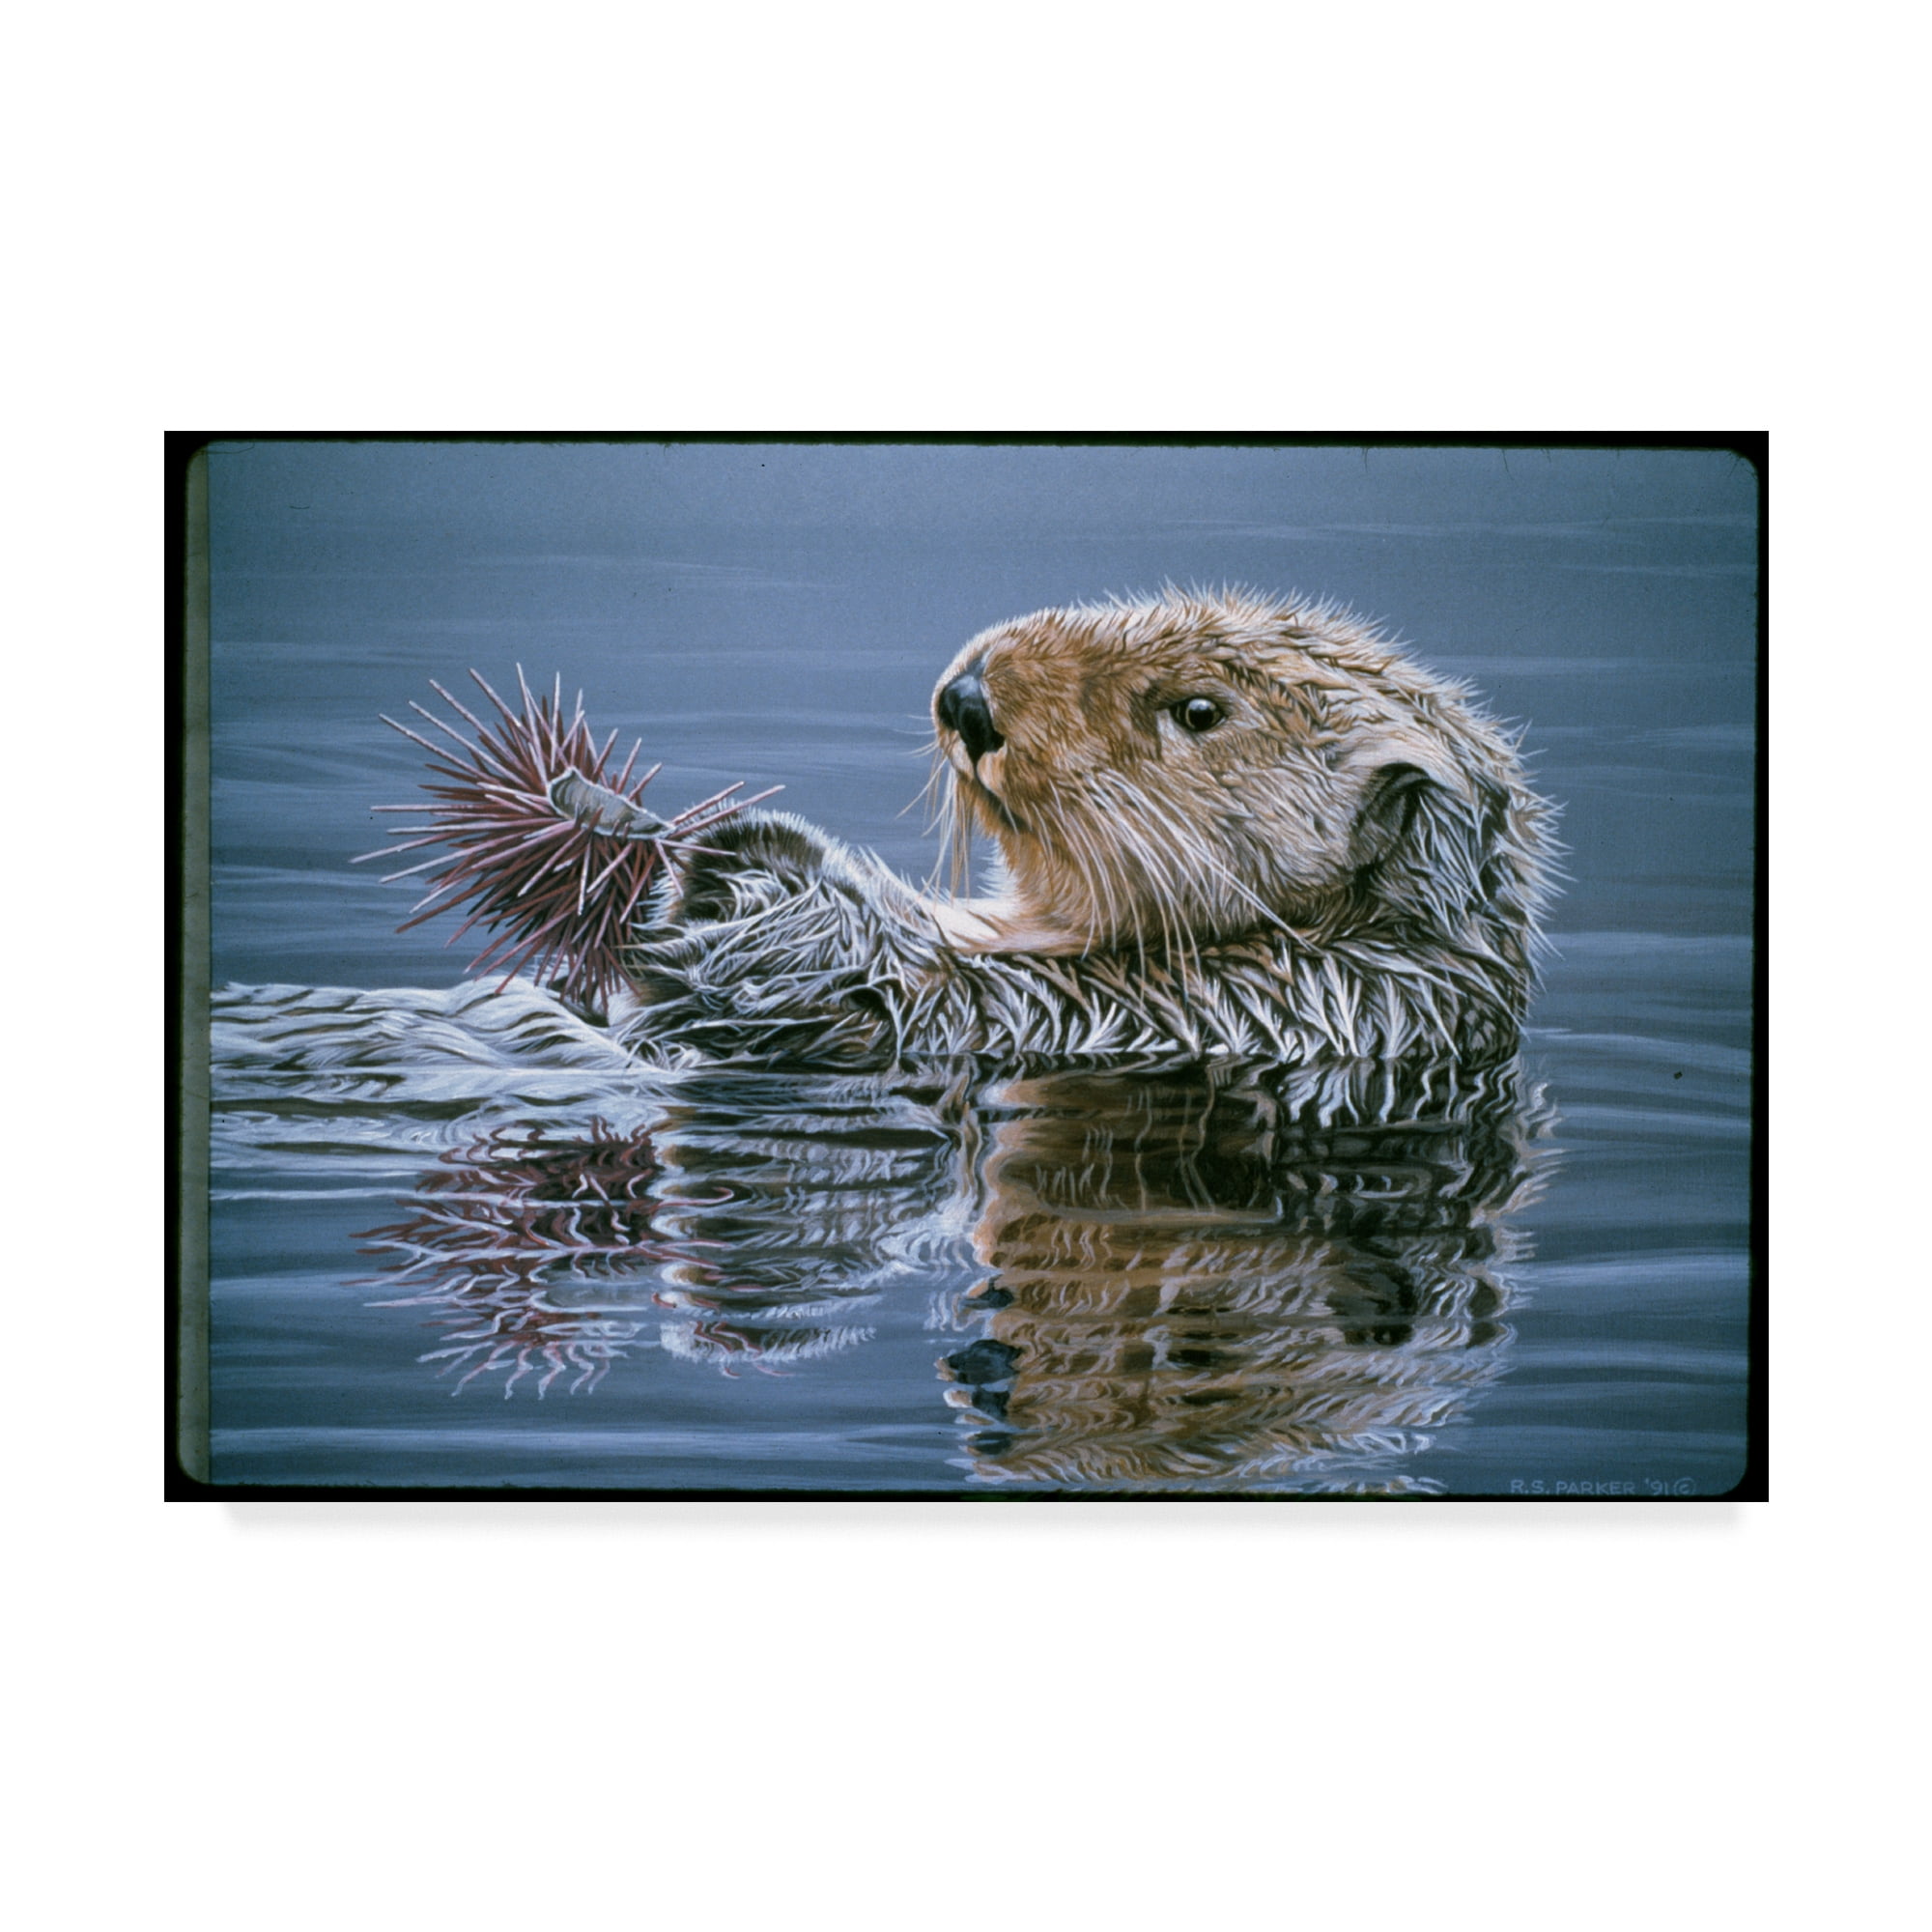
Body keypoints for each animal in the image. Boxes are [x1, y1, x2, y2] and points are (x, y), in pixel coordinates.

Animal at [603, 588, 1558, 1068]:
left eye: (1199, 711)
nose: (967, 699)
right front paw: (727, 852)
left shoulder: (1230, 1009)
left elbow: (932, 996)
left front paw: (754, 881)